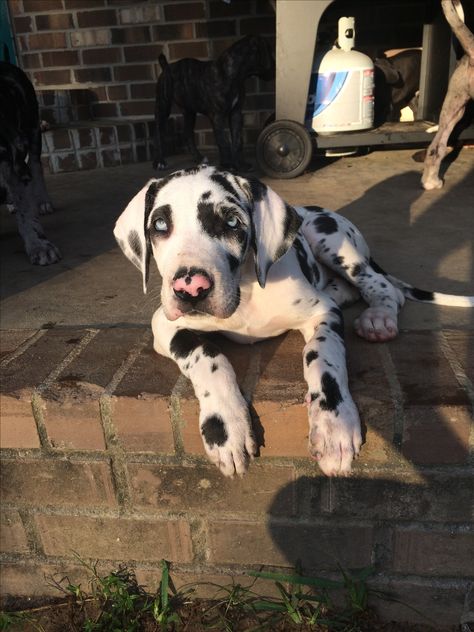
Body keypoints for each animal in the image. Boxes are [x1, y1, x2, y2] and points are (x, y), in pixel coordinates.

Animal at [0, 61, 60, 264]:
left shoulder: (16, 166)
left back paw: (42, 201)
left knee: (36, 165)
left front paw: (38, 245)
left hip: (33, 126)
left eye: (0, 153)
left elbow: (25, 211)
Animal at [115, 165, 474, 476]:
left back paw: (378, 318)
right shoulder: (164, 324)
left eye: (231, 221)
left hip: (331, 240)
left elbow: (323, 358)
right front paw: (226, 427)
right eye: (160, 225)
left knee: (383, 286)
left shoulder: (323, 313)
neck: (246, 293)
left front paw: (333, 424)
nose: (191, 288)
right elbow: (206, 354)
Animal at [153, 34, 274, 173]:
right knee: (158, 133)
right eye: (270, 51)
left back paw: (199, 158)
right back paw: (159, 162)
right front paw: (228, 164)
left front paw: (241, 164)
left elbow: (238, 141)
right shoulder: (217, 116)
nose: (275, 70)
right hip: (163, 106)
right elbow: (223, 141)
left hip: (189, 111)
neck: (234, 76)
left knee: (187, 134)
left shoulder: (236, 113)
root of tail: (167, 67)